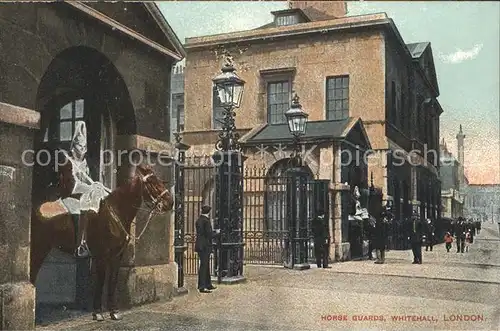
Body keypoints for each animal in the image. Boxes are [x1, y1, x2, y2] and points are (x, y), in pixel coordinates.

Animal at [30, 165, 174, 322]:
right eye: (152, 183)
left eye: (160, 180)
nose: (170, 202)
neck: (115, 213)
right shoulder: (102, 256)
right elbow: (101, 281)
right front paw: (98, 313)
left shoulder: (116, 256)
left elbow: (113, 280)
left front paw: (114, 311)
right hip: (39, 249)